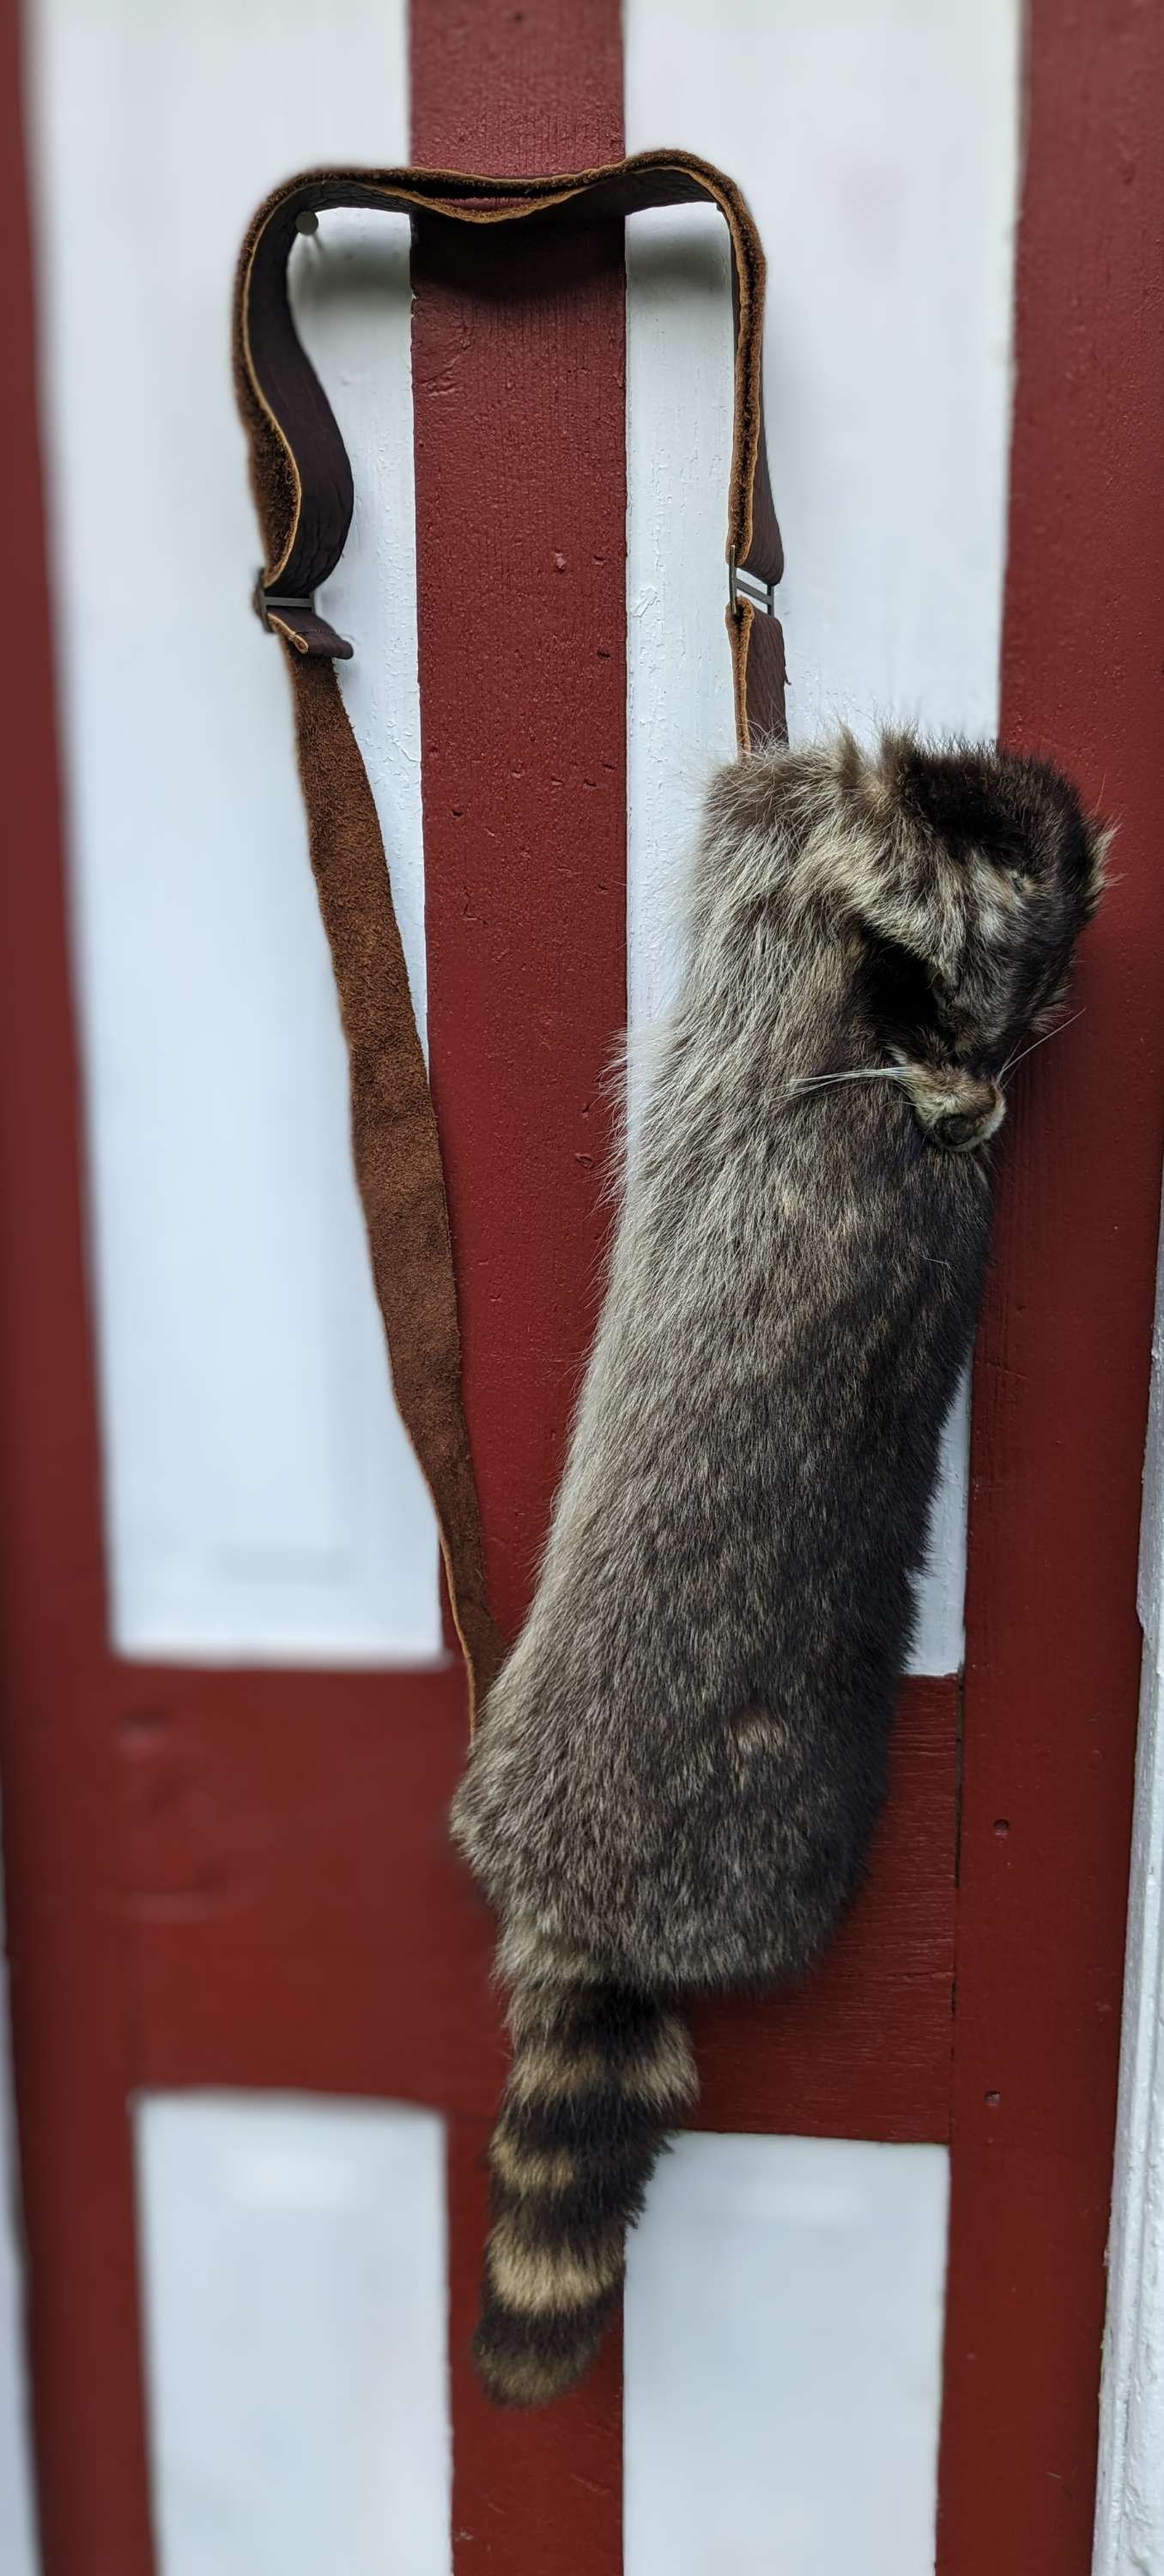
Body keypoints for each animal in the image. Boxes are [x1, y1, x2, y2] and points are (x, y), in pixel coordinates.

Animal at [451, 730, 1107, 2406]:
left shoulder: (779, 926)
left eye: (995, 1034)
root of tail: (637, 1922)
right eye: (946, 1016)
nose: (967, 1115)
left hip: (563, 1741)